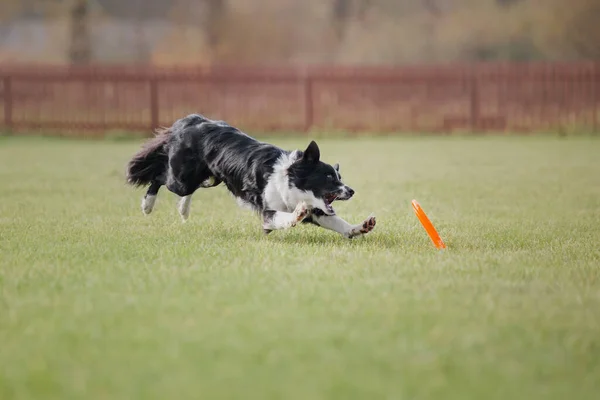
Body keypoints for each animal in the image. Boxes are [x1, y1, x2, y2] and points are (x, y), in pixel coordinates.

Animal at [125, 112, 376, 238]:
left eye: (339, 177)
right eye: (328, 177)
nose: (351, 191)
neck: (289, 180)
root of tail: (190, 120)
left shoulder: (318, 210)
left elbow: (339, 223)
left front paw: (361, 227)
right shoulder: (269, 212)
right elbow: (284, 217)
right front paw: (295, 215)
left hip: (208, 177)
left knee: (190, 189)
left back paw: (183, 210)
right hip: (181, 177)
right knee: (159, 177)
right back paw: (147, 206)